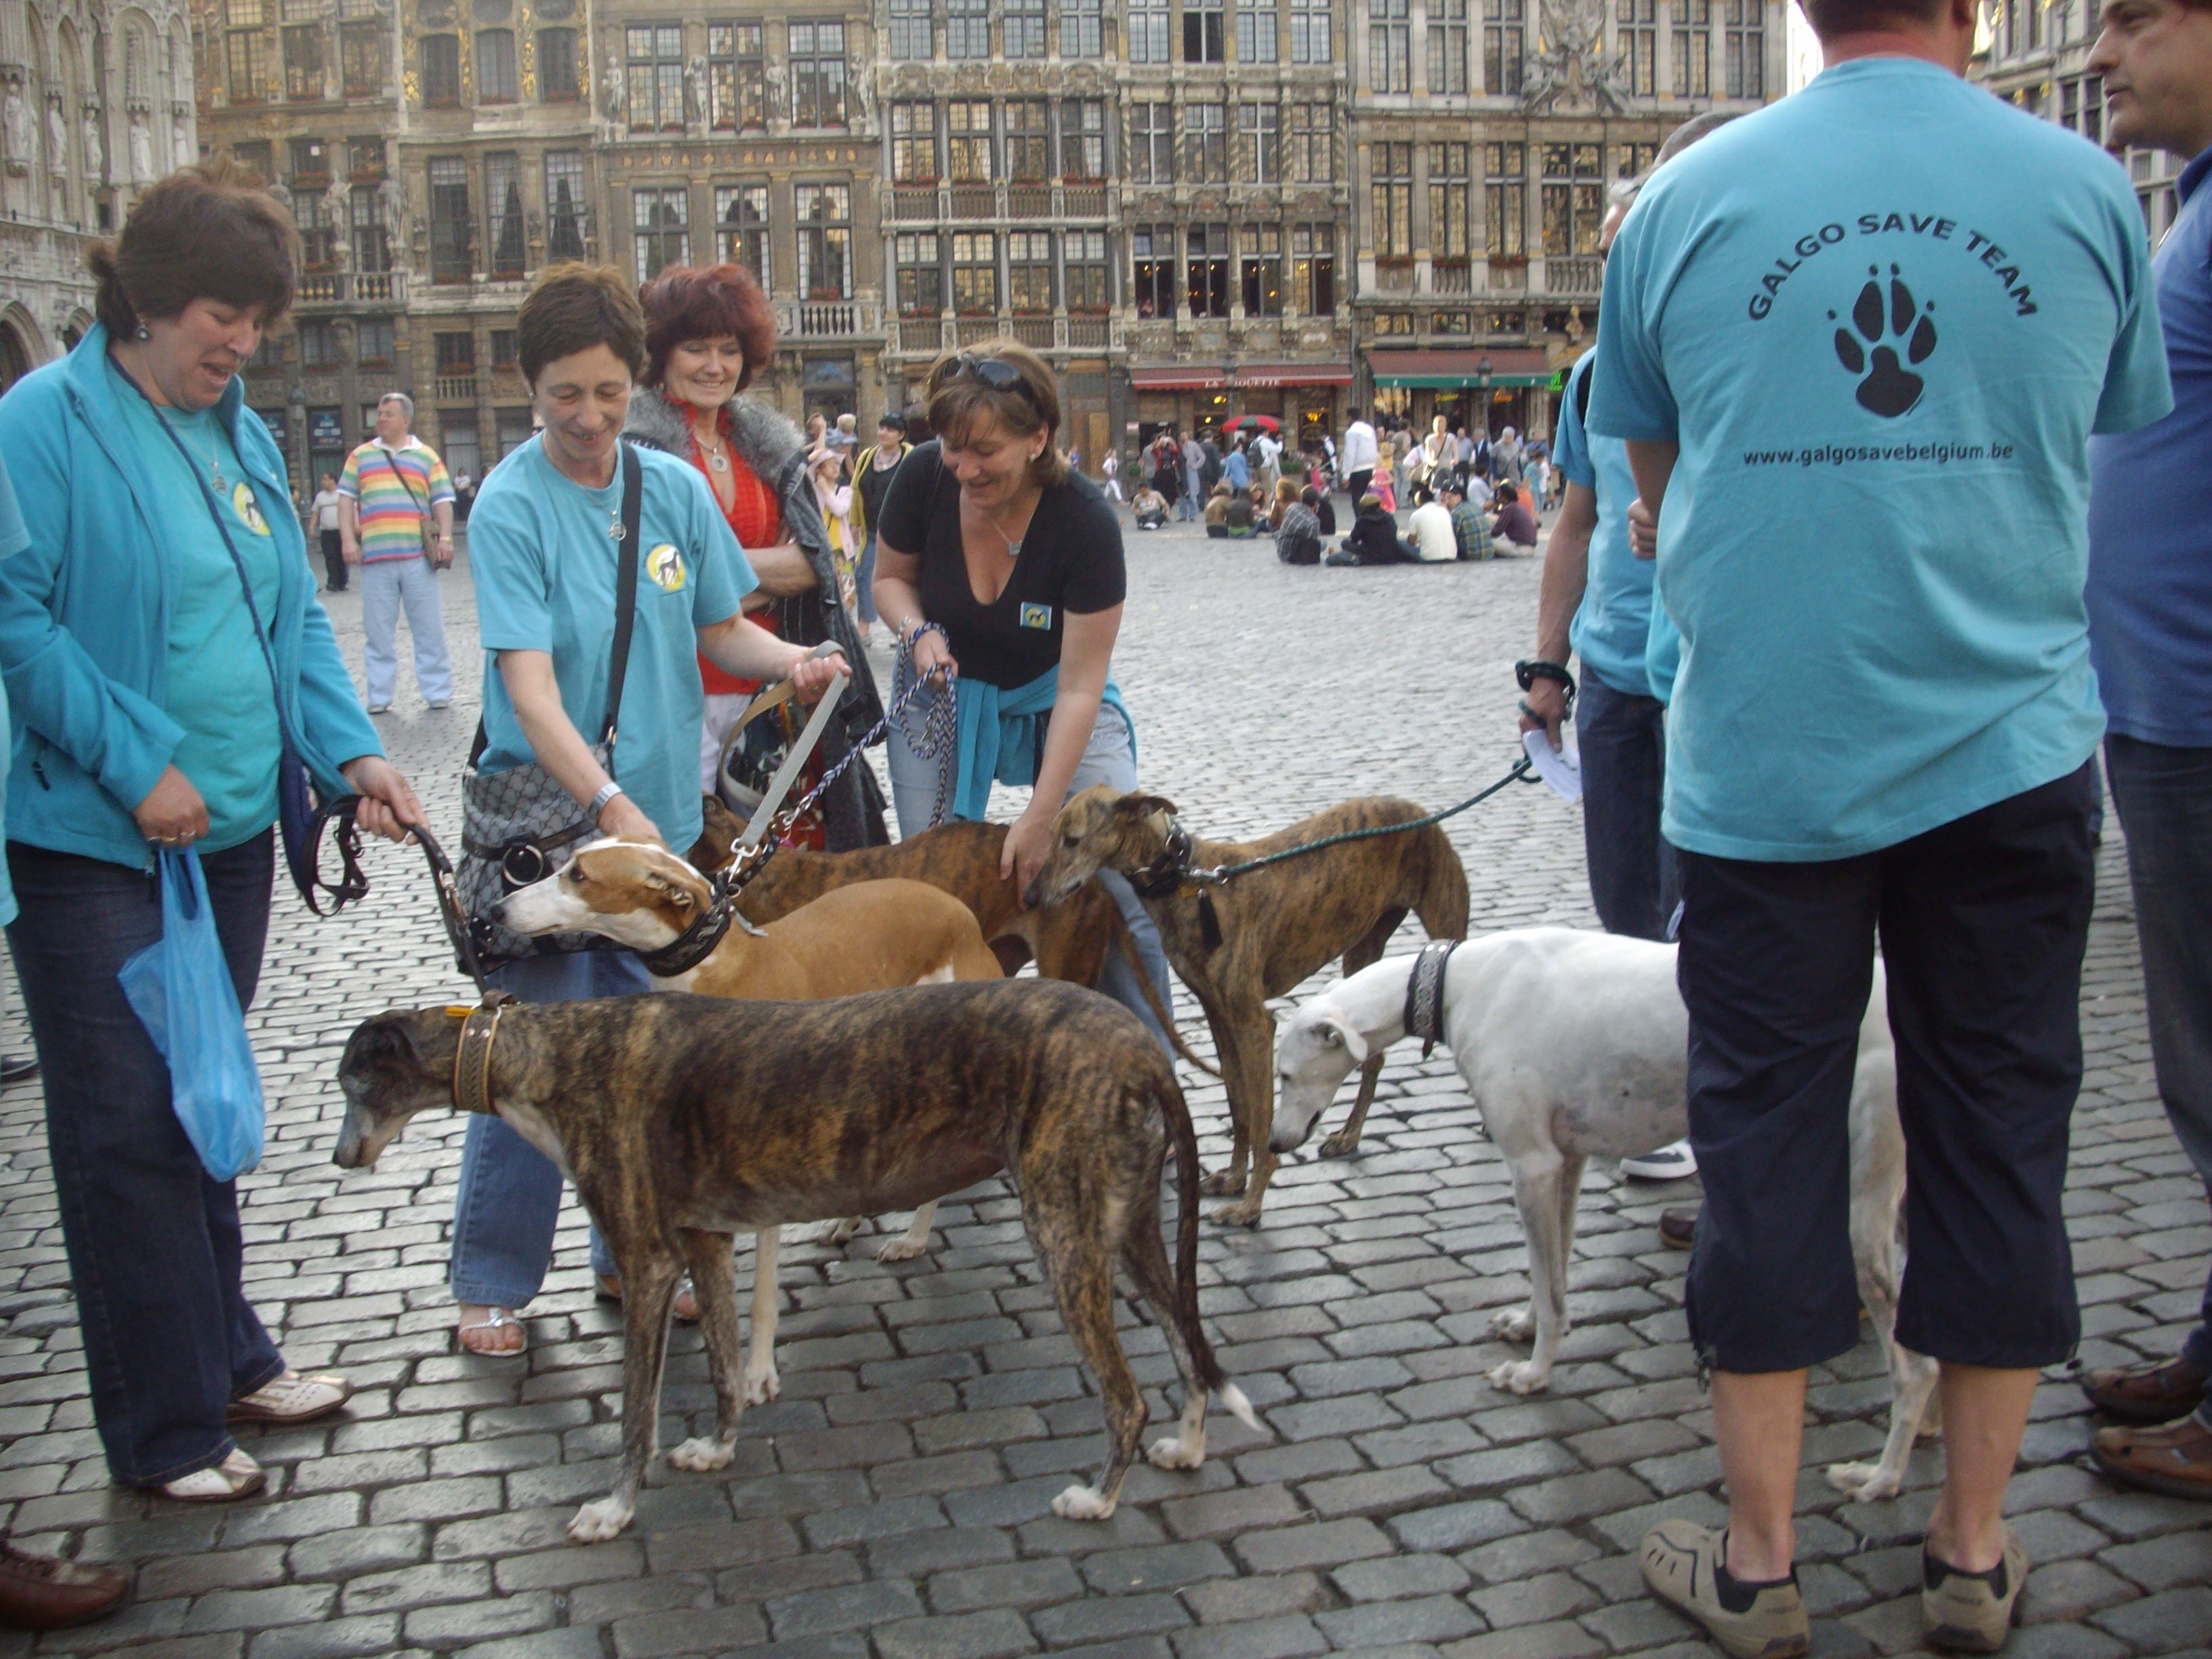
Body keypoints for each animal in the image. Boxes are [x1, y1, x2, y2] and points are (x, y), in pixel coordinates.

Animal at [495, 844, 1004, 1406]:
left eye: (580, 876)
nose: (497, 910)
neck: (723, 975)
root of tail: (957, 910)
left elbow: (761, 1295)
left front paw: (758, 1375)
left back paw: (912, 1238)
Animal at [1274, 937, 1946, 1504]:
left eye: (1283, 1074)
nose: (1277, 1143)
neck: (1459, 982)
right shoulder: (1564, 1164)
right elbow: (1552, 1280)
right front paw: (1525, 1326)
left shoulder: (1532, 1166)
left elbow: (1549, 1290)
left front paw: (1534, 1374)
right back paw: (1929, 1431)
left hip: (1860, 1211)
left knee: (1916, 1369)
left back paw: (1881, 1477)